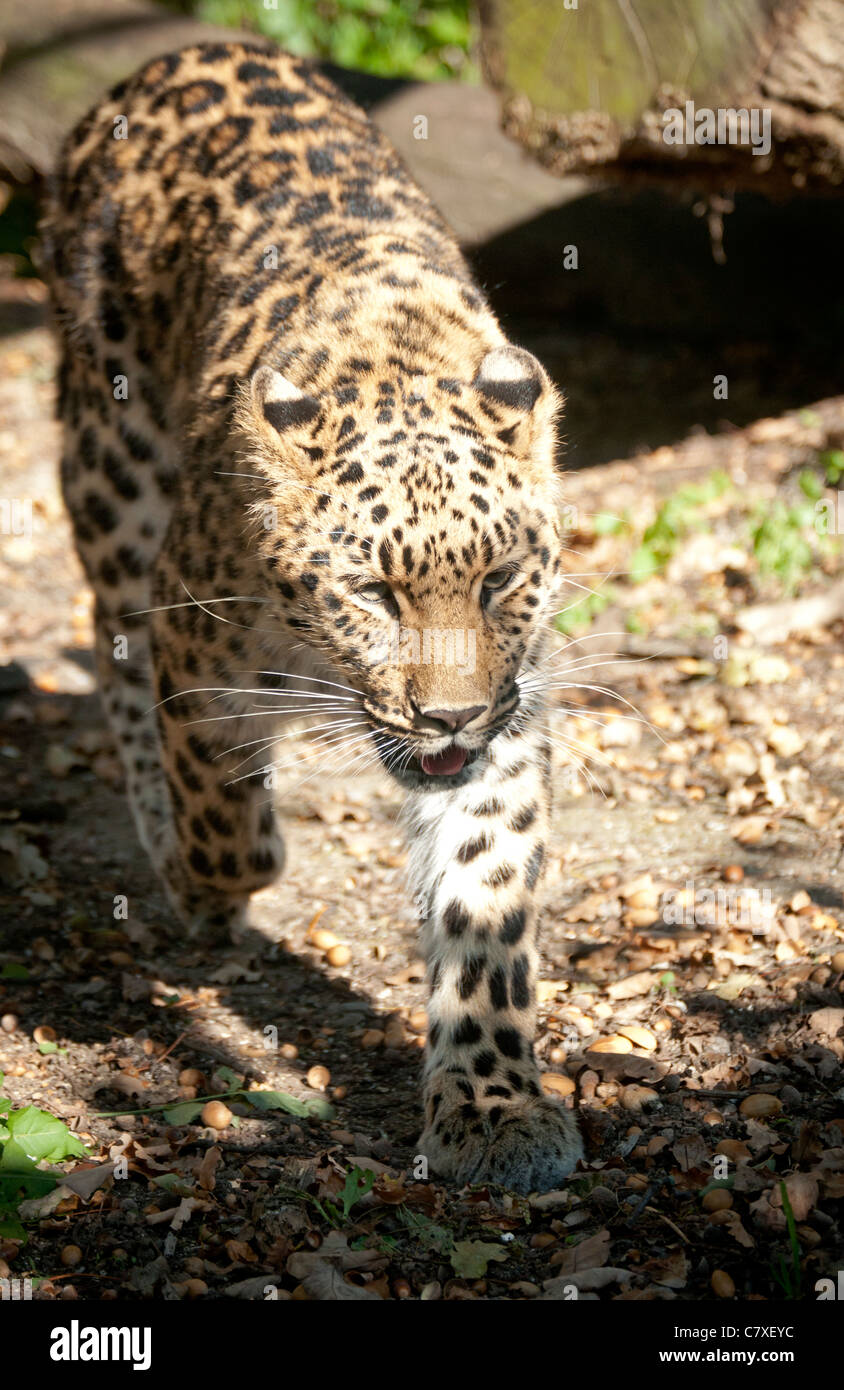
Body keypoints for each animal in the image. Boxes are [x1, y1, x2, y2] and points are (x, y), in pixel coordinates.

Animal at [41, 38, 584, 1193]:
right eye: (372, 592)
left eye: (497, 580)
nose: (448, 719)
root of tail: (181, 51)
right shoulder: (193, 638)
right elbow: (224, 820)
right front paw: (206, 878)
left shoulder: (511, 708)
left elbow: (485, 892)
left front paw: (493, 1107)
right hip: (112, 467)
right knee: (114, 654)